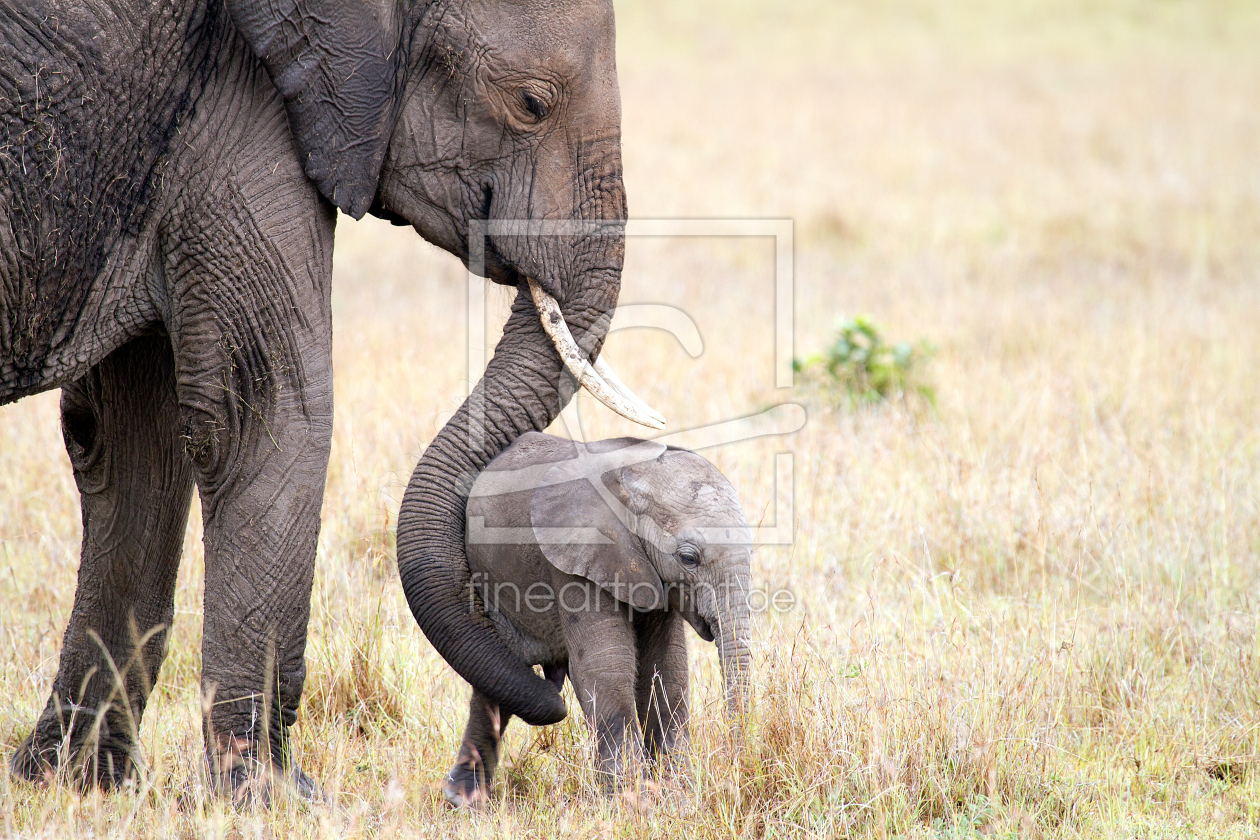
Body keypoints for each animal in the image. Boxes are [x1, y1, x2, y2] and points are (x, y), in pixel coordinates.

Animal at [0, 0, 650, 800]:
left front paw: (73, 784)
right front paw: (274, 797)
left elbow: (130, 437)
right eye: (531, 104)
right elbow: (269, 412)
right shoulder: (240, 101)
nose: (550, 689)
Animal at [443, 430, 745, 805]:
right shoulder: (576, 558)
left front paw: (678, 796)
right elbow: (607, 668)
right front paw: (631, 803)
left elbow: (666, 670)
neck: (633, 474)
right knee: (497, 675)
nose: (736, 766)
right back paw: (462, 800)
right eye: (688, 558)